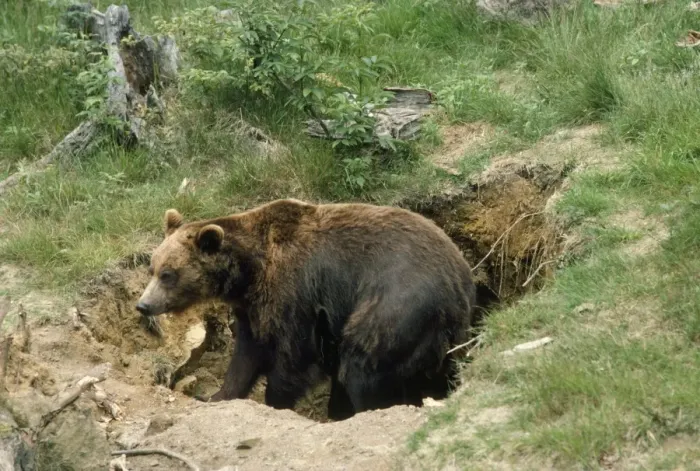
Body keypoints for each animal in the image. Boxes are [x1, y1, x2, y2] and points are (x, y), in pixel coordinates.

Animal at [136, 198, 476, 420]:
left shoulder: (296, 292)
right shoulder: (253, 309)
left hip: (398, 305)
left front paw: (275, 401)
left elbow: (294, 357)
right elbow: (247, 354)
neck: (249, 272)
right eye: (152, 268)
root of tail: (461, 277)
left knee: (362, 359)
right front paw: (217, 395)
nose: (143, 304)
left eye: (168, 274)